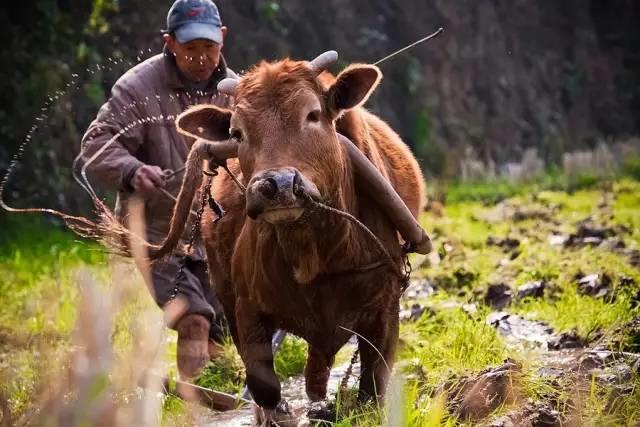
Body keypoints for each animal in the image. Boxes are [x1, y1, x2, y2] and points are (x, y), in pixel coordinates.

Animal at [157, 52, 424, 422]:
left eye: (312, 114)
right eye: (237, 132)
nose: (277, 186)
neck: (316, 249)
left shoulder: (384, 308)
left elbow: (373, 389)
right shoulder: (246, 310)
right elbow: (264, 385)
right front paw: (278, 413)